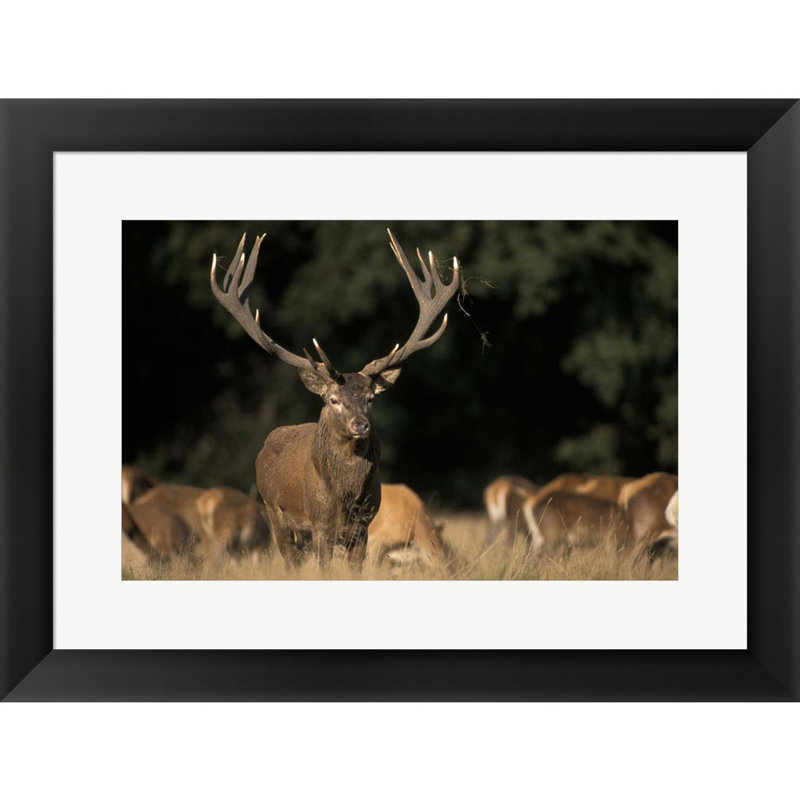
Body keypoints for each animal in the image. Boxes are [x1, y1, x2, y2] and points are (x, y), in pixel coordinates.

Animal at [210, 229, 460, 572]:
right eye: (332, 399)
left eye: (371, 398)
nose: (360, 425)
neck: (344, 499)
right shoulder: (320, 525)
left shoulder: (364, 528)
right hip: (274, 512)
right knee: (289, 560)